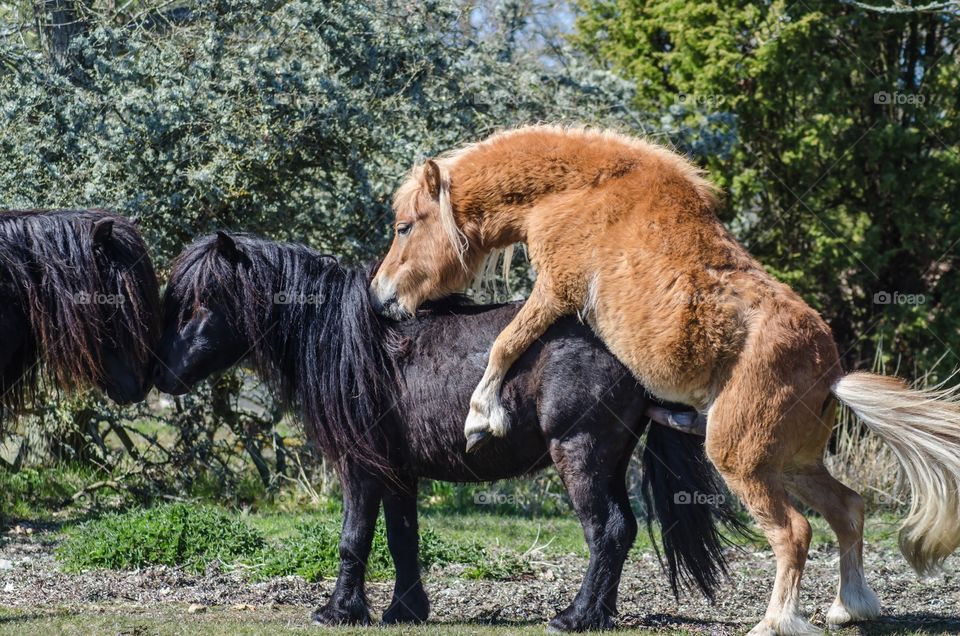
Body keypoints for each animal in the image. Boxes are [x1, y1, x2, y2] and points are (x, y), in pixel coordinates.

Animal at [156, 234, 744, 632]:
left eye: (202, 300)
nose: (161, 373)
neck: (357, 347)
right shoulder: (397, 471)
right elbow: (402, 539)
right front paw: (403, 610)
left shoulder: (360, 466)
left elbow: (353, 537)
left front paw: (337, 611)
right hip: (610, 460)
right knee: (621, 530)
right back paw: (597, 615)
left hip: (580, 455)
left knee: (607, 530)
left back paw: (573, 617)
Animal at [370, 125, 960, 636]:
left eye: (404, 227)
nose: (380, 298)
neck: (575, 189)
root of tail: (832, 374)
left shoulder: (556, 289)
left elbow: (506, 343)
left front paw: (480, 417)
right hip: (790, 464)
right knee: (848, 510)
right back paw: (849, 608)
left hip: (743, 462)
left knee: (795, 533)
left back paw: (775, 622)